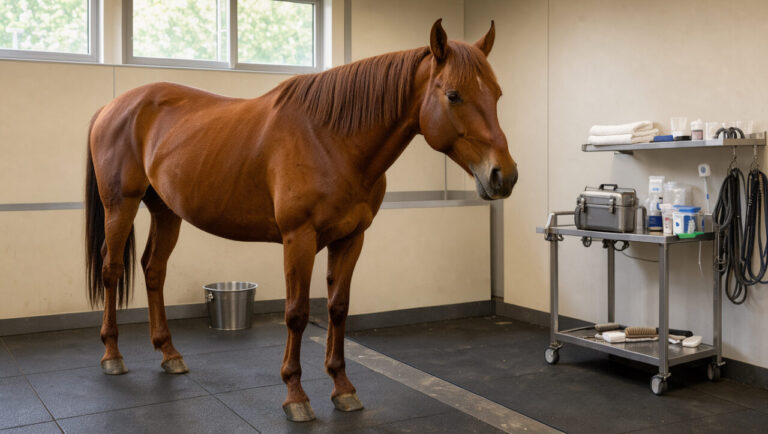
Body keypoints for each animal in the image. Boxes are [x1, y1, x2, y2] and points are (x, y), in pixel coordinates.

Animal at [84, 19, 516, 422]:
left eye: (497, 95)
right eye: (453, 94)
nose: (504, 176)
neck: (332, 140)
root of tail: (111, 107)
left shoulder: (352, 238)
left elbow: (338, 308)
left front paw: (343, 388)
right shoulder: (299, 239)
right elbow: (296, 313)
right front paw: (296, 394)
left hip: (166, 211)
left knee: (153, 270)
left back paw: (169, 353)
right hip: (120, 205)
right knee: (111, 269)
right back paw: (111, 355)